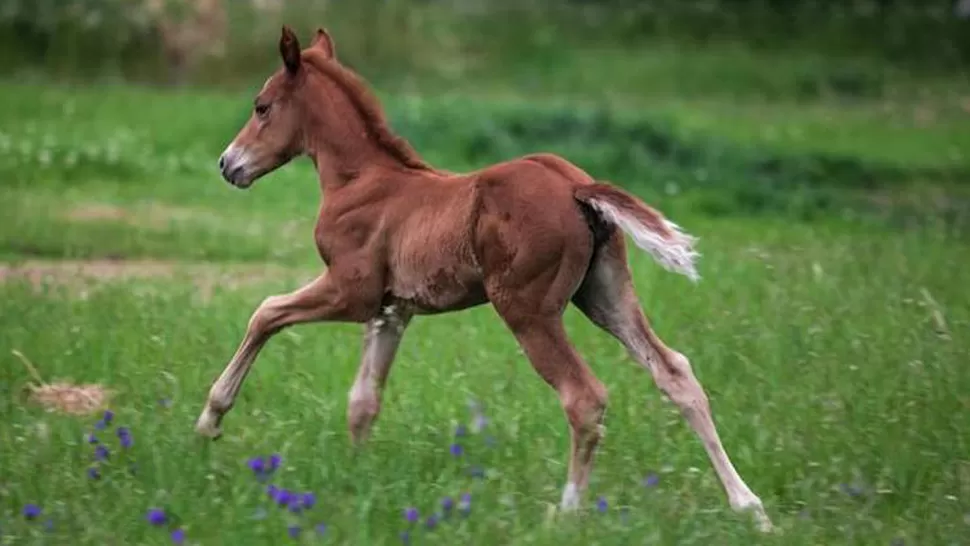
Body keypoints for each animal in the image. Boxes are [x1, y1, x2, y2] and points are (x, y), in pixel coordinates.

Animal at [195, 25, 772, 532]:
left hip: (526, 309)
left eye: (262, 106)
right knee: (676, 373)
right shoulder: (393, 310)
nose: (227, 164)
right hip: (605, 294)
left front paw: (210, 421)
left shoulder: (351, 292)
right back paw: (750, 508)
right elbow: (363, 401)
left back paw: (567, 514)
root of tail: (576, 187)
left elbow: (266, 312)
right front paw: (355, 480)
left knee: (584, 396)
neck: (364, 181)